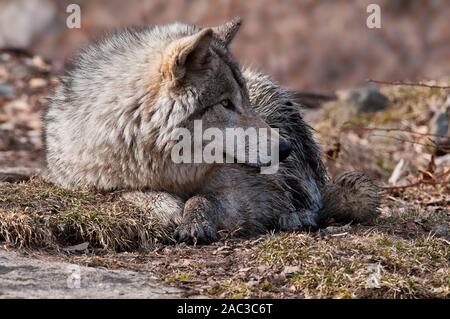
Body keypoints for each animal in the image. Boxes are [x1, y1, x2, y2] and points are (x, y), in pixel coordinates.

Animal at [44, 18, 380, 245]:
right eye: (226, 103)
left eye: (243, 100)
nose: (284, 149)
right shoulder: (90, 186)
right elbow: (135, 194)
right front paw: (167, 208)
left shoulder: (248, 193)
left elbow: (202, 199)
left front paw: (194, 222)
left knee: (313, 198)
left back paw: (296, 216)